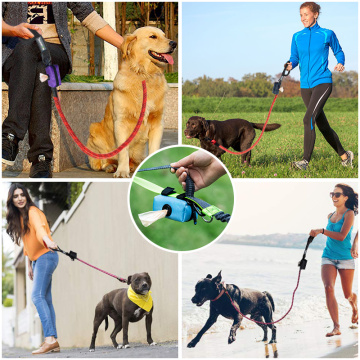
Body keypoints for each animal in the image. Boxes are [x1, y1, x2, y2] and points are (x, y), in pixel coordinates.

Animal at [87, 26, 177, 178]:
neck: (144, 74)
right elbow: (123, 151)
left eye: (164, 35)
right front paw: (121, 171)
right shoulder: (121, 122)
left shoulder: (157, 122)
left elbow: (154, 149)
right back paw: (112, 166)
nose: (174, 43)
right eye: (153, 36)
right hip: (94, 130)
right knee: (103, 162)